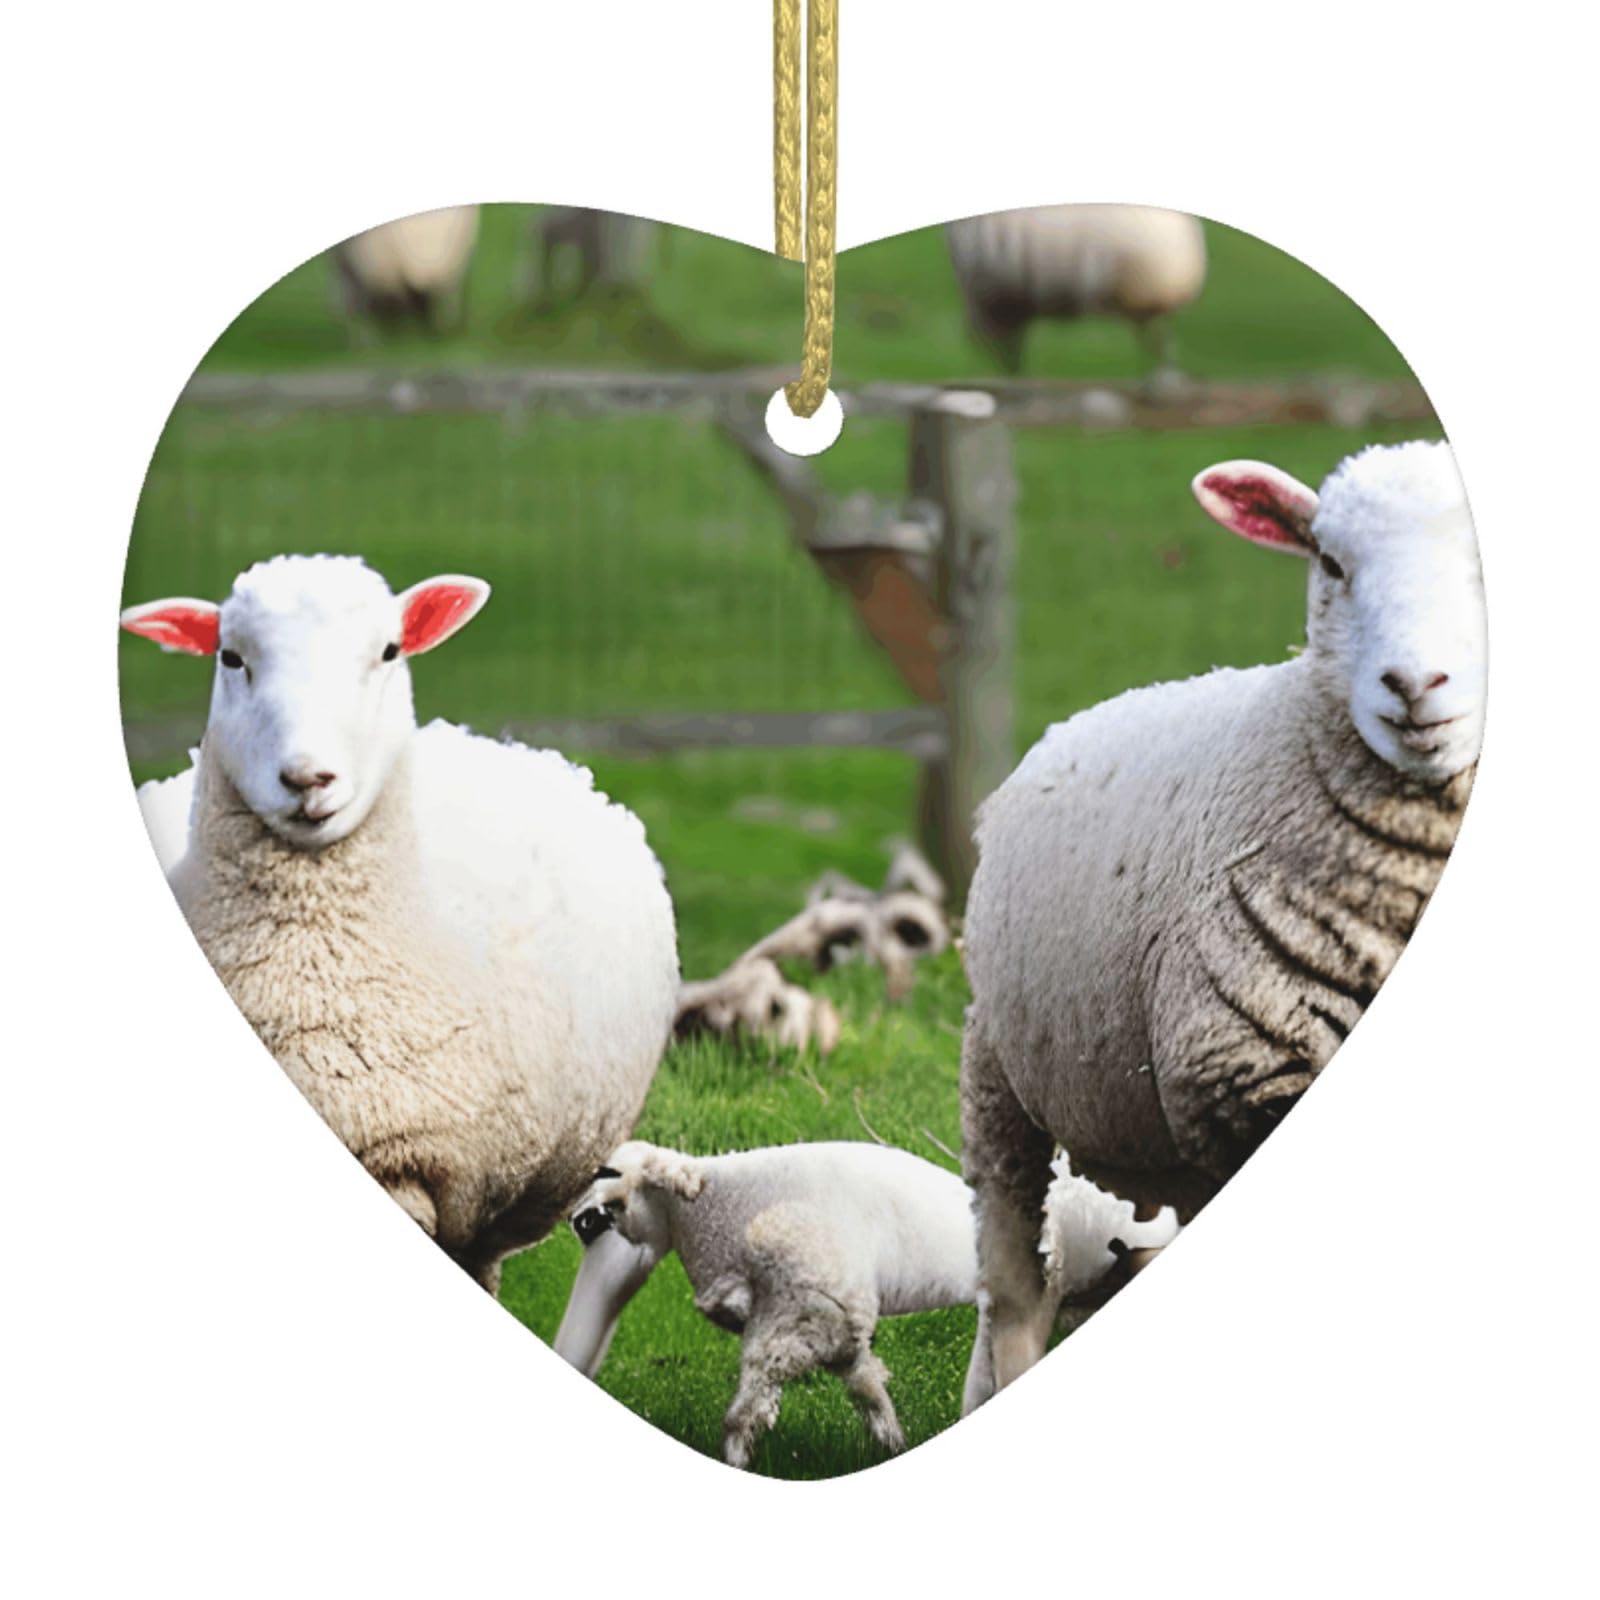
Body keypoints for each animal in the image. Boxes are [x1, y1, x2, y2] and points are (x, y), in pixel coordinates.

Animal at [553, 1140, 1177, 1468]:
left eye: (609, 1200)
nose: (580, 1220)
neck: (720, 1212)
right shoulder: (829, 1320)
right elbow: (867, 1387)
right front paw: (892, 1443)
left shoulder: (804, 1311)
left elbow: (748, 1407)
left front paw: (735, 1459)